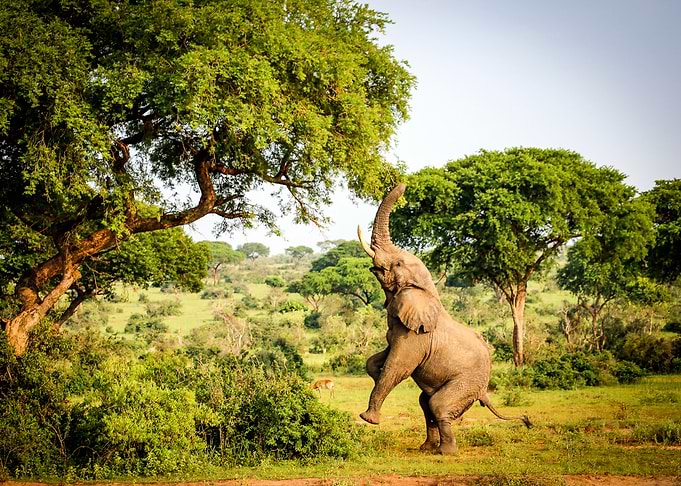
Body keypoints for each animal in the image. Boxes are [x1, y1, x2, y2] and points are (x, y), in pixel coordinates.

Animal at [357, 183, 531, 455]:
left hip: (466, 383)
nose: (405, 184)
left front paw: (368, 419)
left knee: (438, 404)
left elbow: (399, 366)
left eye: (398, 263)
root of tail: (484, 391)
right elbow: (378, 359)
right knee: (425, 402)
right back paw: (426, 448)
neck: (426, 290)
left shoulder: (417, 336)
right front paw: (375, 372)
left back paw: (446, 452)